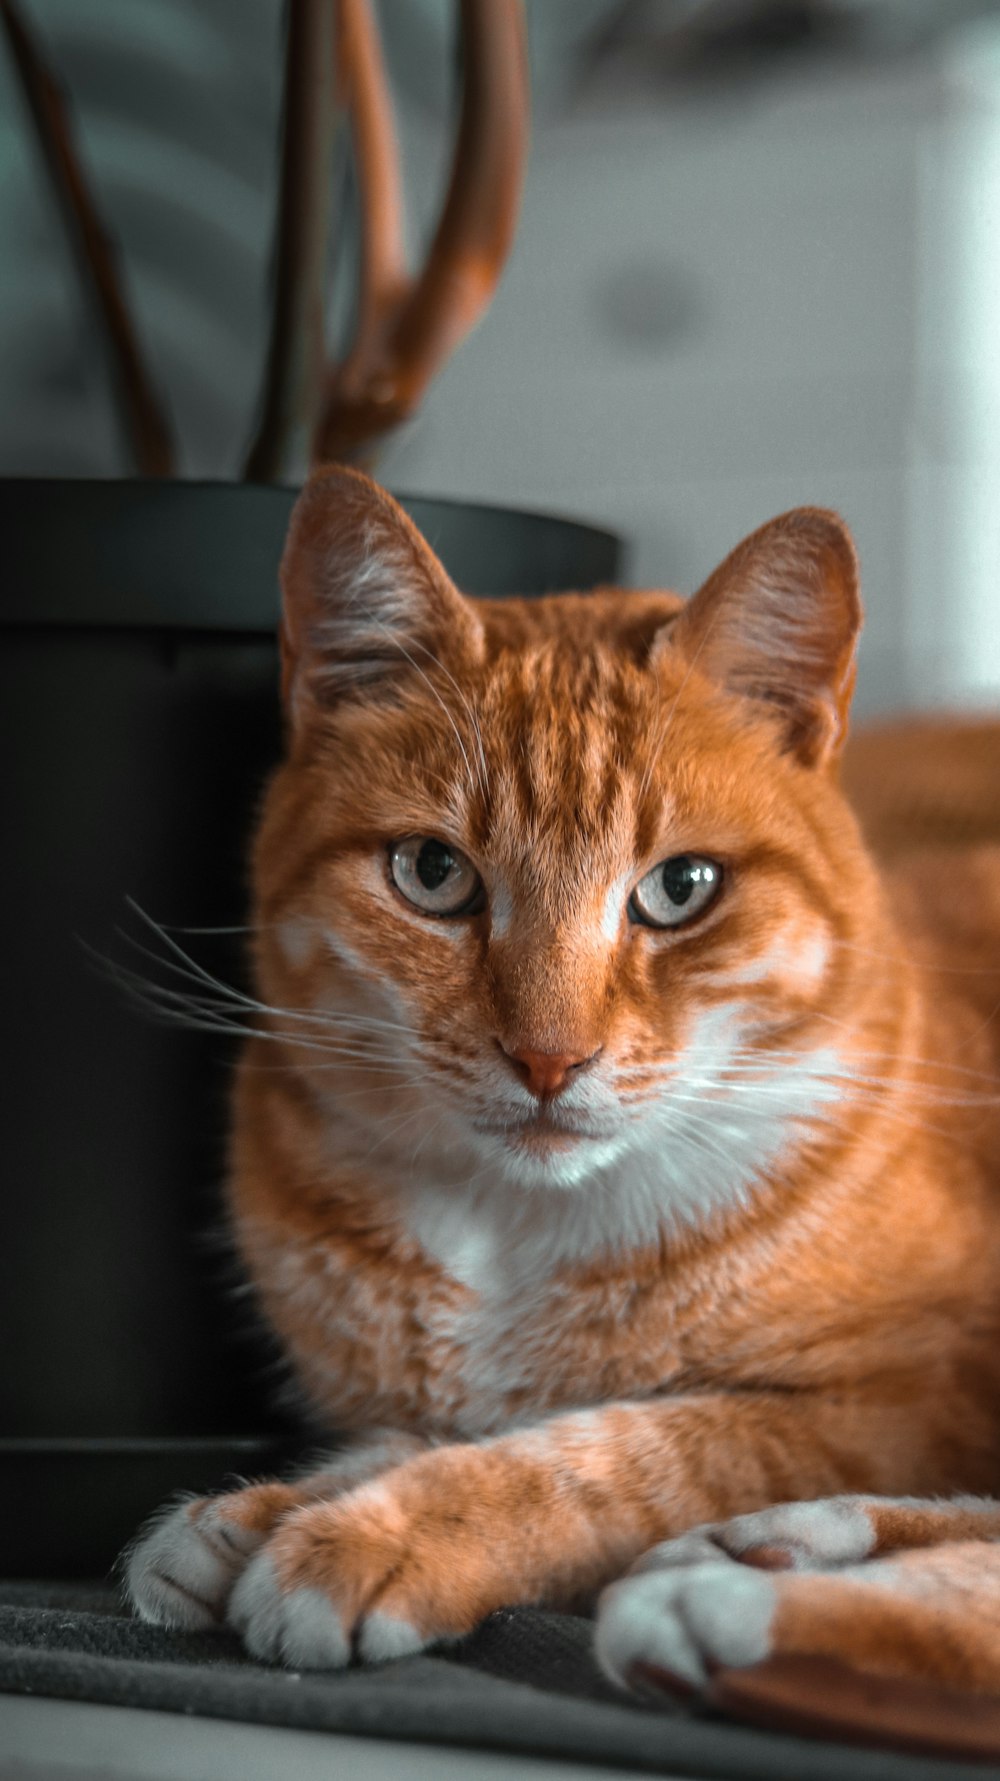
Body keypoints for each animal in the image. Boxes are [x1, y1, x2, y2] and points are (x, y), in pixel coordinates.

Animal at [122, 463, 998, 1695]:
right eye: (432, 872)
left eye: (681, 886)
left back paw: (741, 1586)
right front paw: (259, 1509)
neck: (514, 1236)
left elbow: (622, 1449)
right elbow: (412, 1431)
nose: (547, 1056)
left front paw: (376, 1531)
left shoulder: (900, 1401)